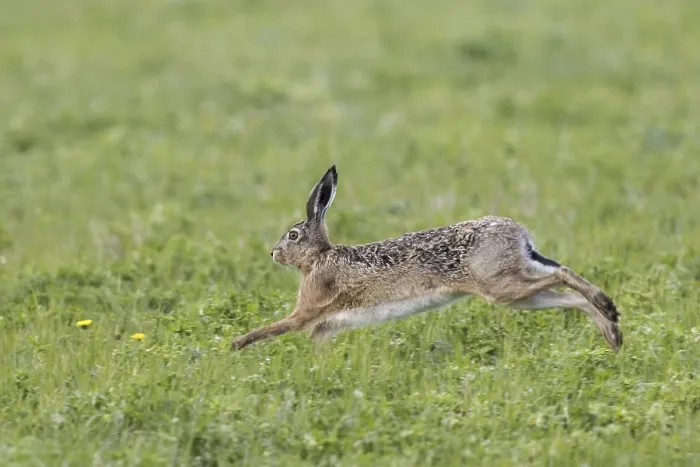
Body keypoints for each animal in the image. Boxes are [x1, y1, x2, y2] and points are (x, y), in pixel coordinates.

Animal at [231, 165, 622, 352]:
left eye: (293, 236)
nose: (273, 253)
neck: (320, 257)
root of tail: (518, 233)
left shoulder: (306, 311)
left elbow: (277, 327)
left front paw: (234, 345)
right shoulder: (326, 325)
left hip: (500, 285)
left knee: (562, 275)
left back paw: (609, 311)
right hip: (517, 290)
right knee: (567, 291)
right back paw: (612, 332)